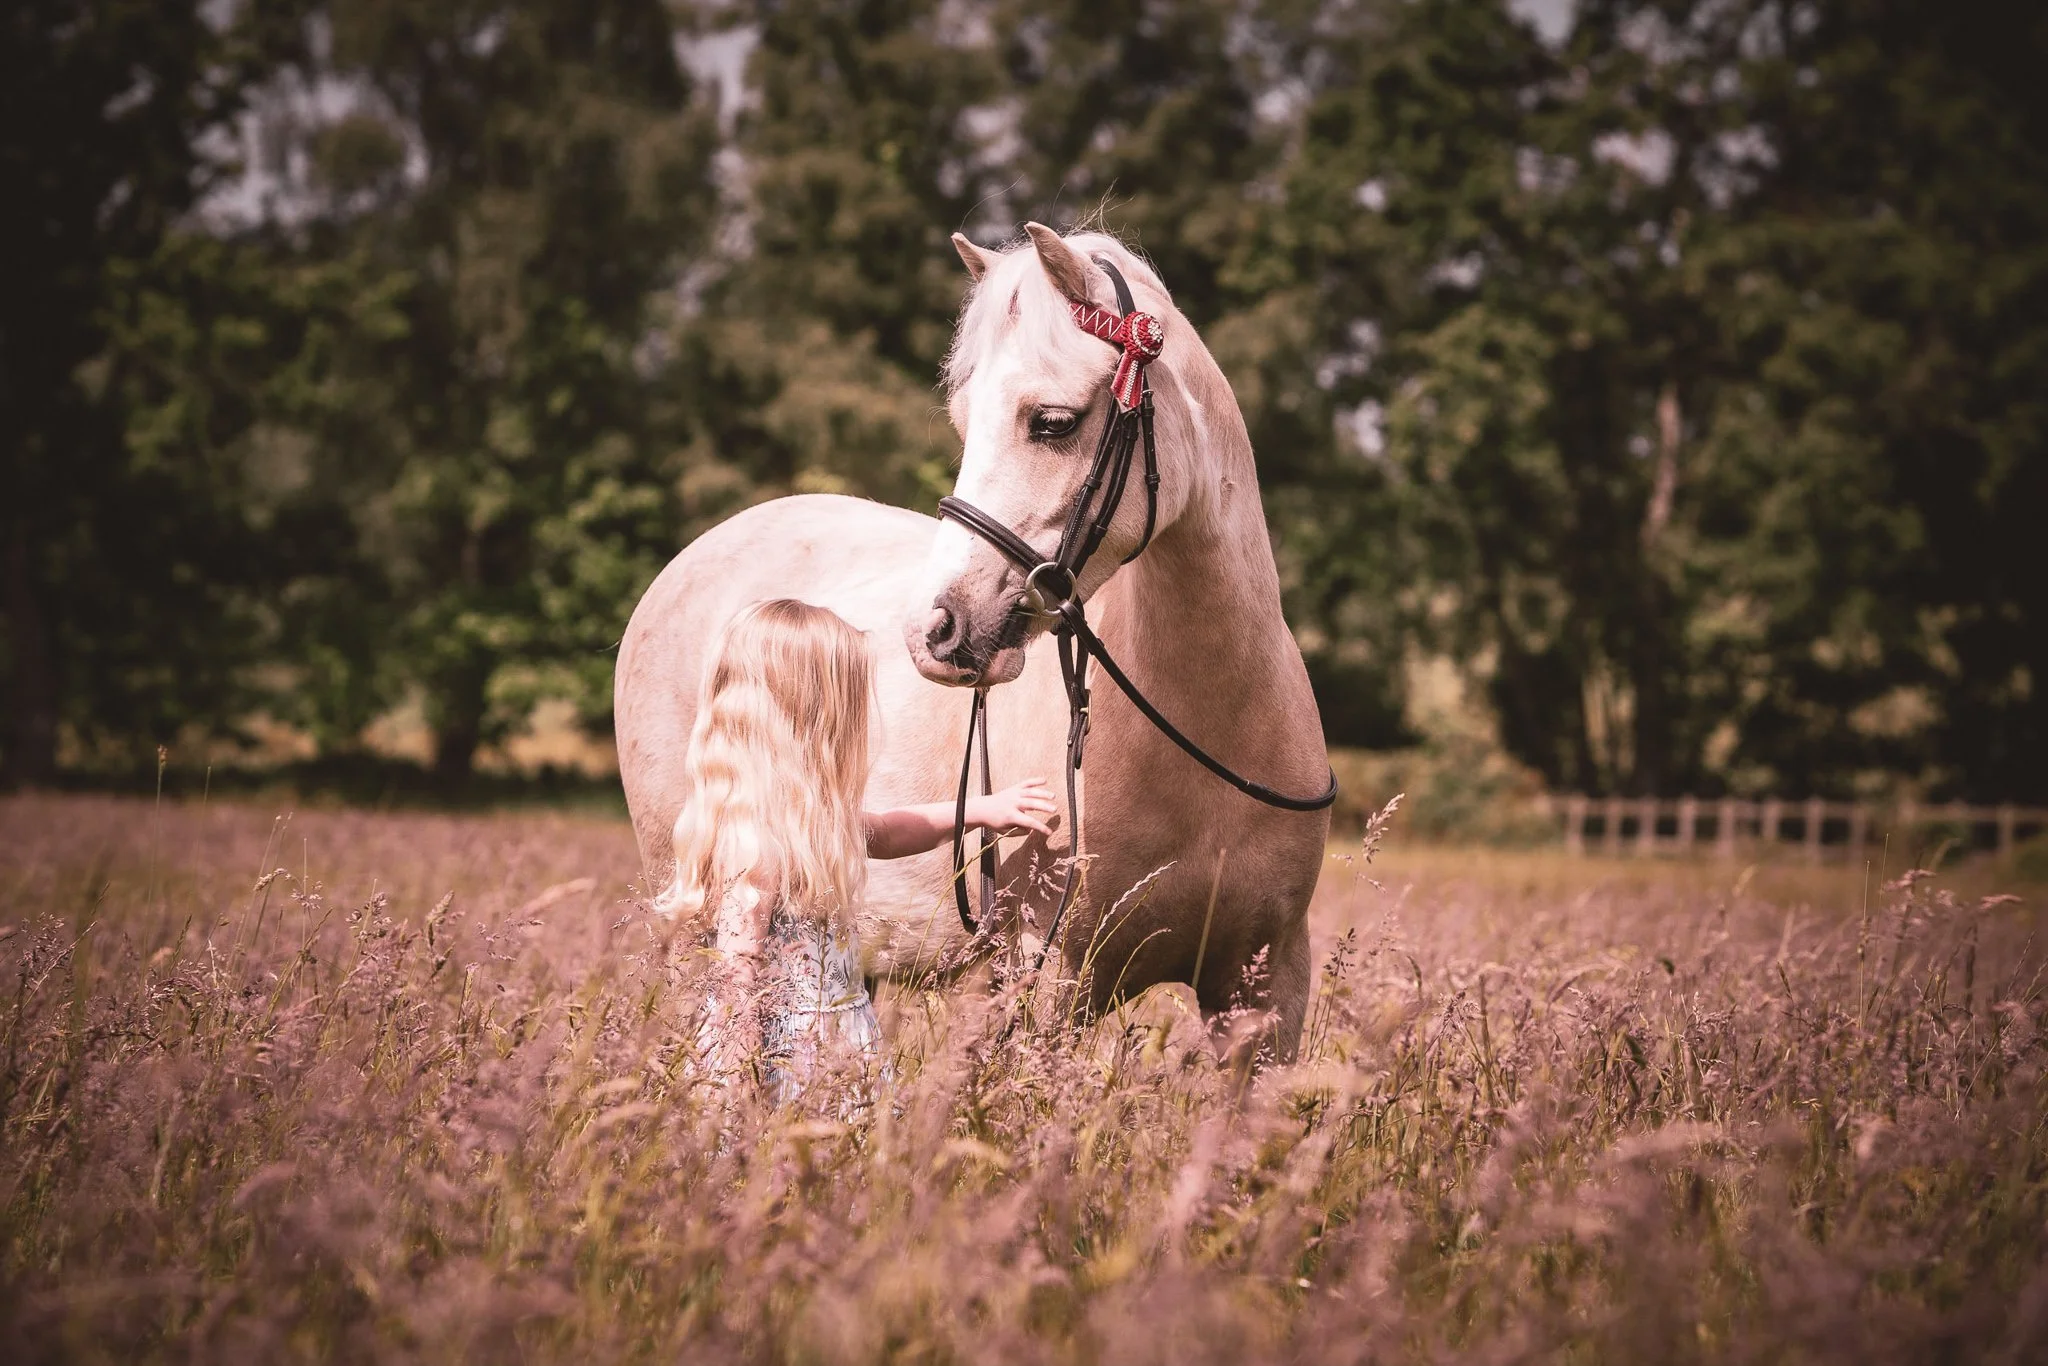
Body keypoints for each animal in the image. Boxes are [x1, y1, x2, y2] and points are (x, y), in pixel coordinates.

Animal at [613, 223, 1332, 1054]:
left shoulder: (1266, 997)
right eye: (964, 422)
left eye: (1051, 421)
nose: (935, 629)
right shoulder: (1046, 987)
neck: (1211, 726)